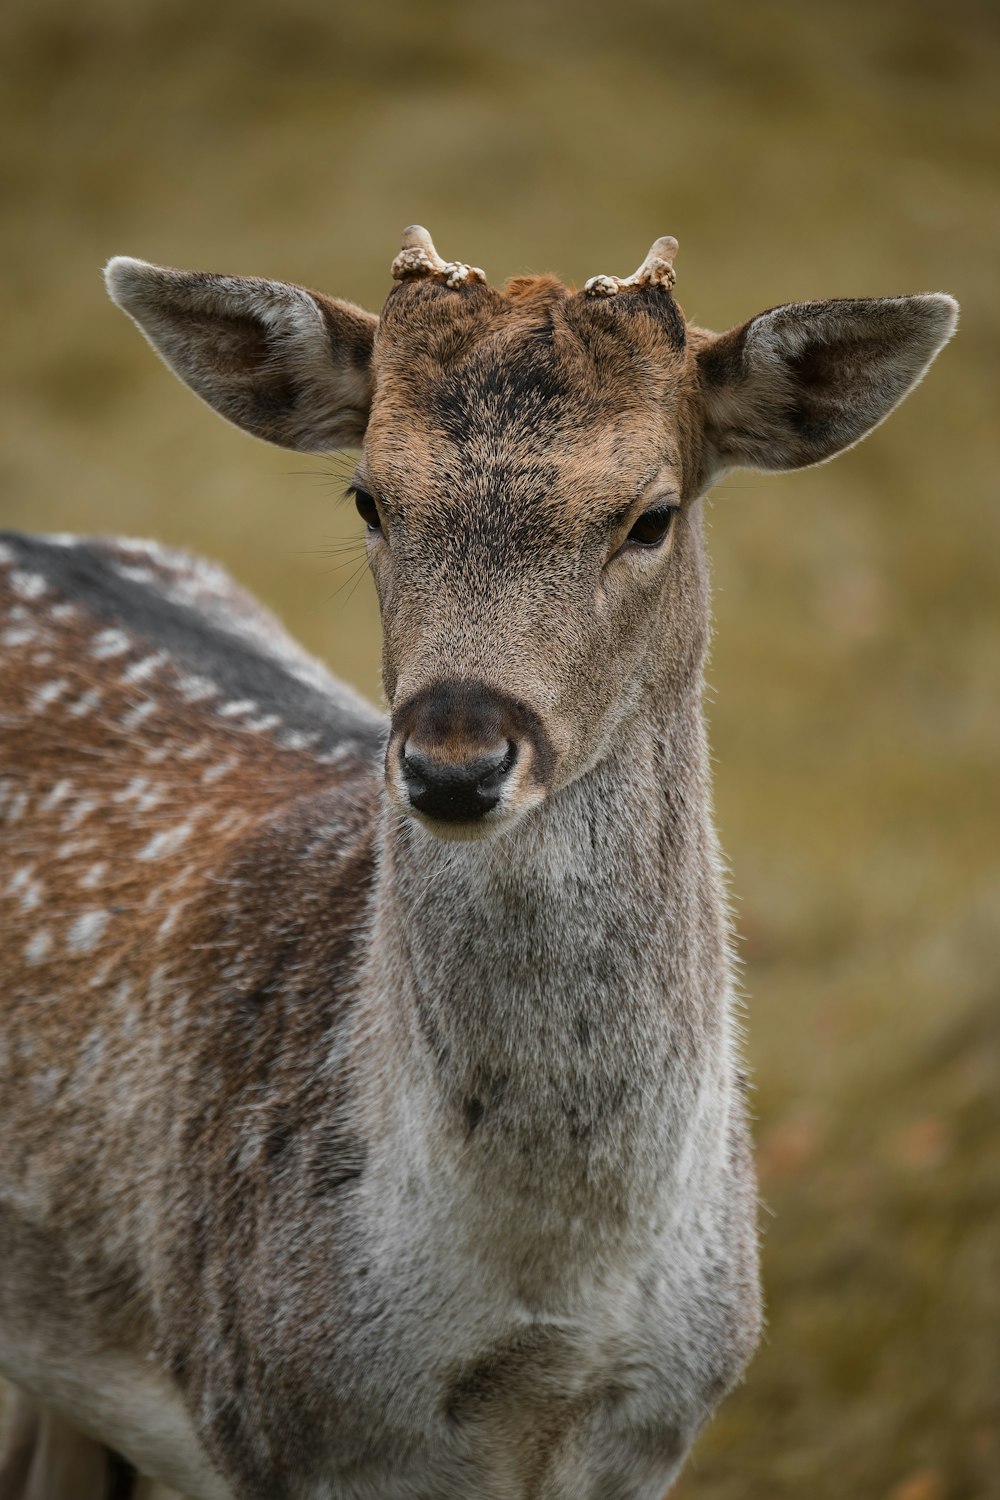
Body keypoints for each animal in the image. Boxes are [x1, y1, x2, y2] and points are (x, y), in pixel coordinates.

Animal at [0, 225, 959, 1500]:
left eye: (650, 516)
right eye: (369, 496)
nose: (454, 759)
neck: (542, 1330)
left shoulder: (657, 1426)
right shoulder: (279, 1426)